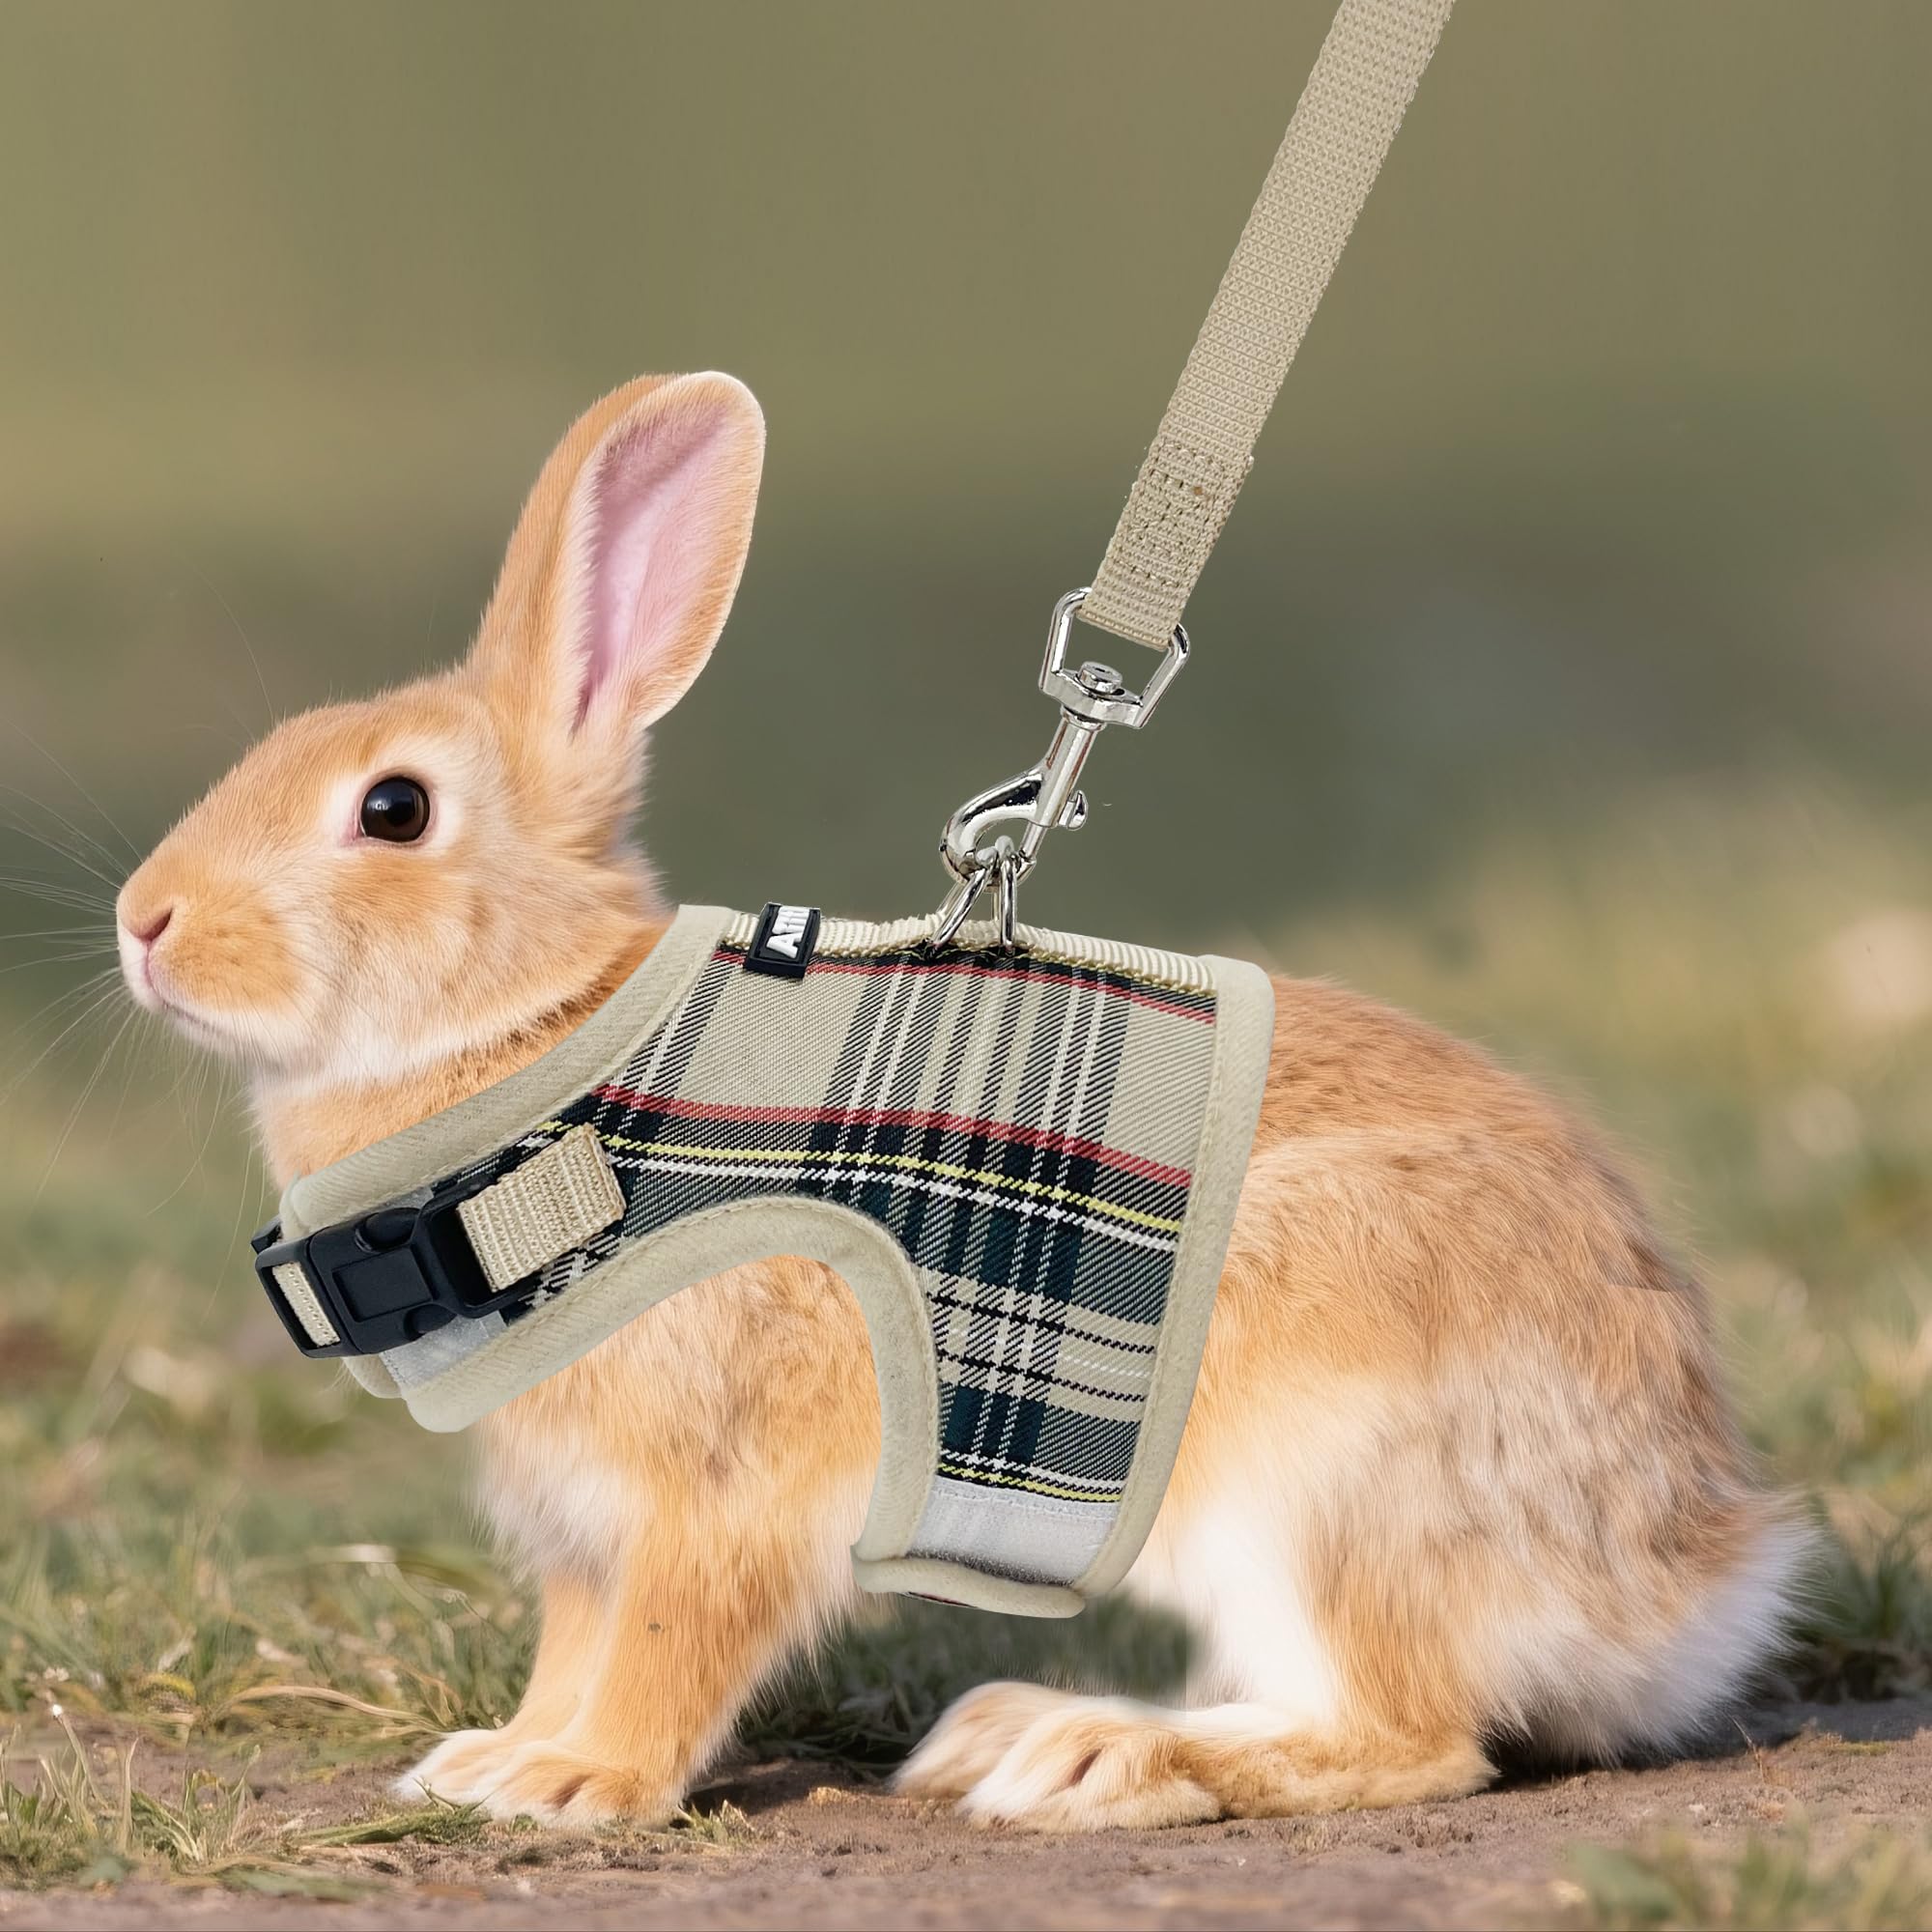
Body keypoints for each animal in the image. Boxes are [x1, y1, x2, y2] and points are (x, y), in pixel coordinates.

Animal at [114, 372, 1806, 1833]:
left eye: (393, 810)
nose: (144, 921)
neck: (542, 1040)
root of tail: (1689, 1572)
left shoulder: (720, 1488)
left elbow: (671, 1639)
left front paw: (580, 1785)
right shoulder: (581, 1524)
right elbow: (573, 1640)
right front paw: (499, 1758)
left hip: (1309, 1483)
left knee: (1410, 1735)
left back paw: (1095, 1756)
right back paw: (1015, 1729)